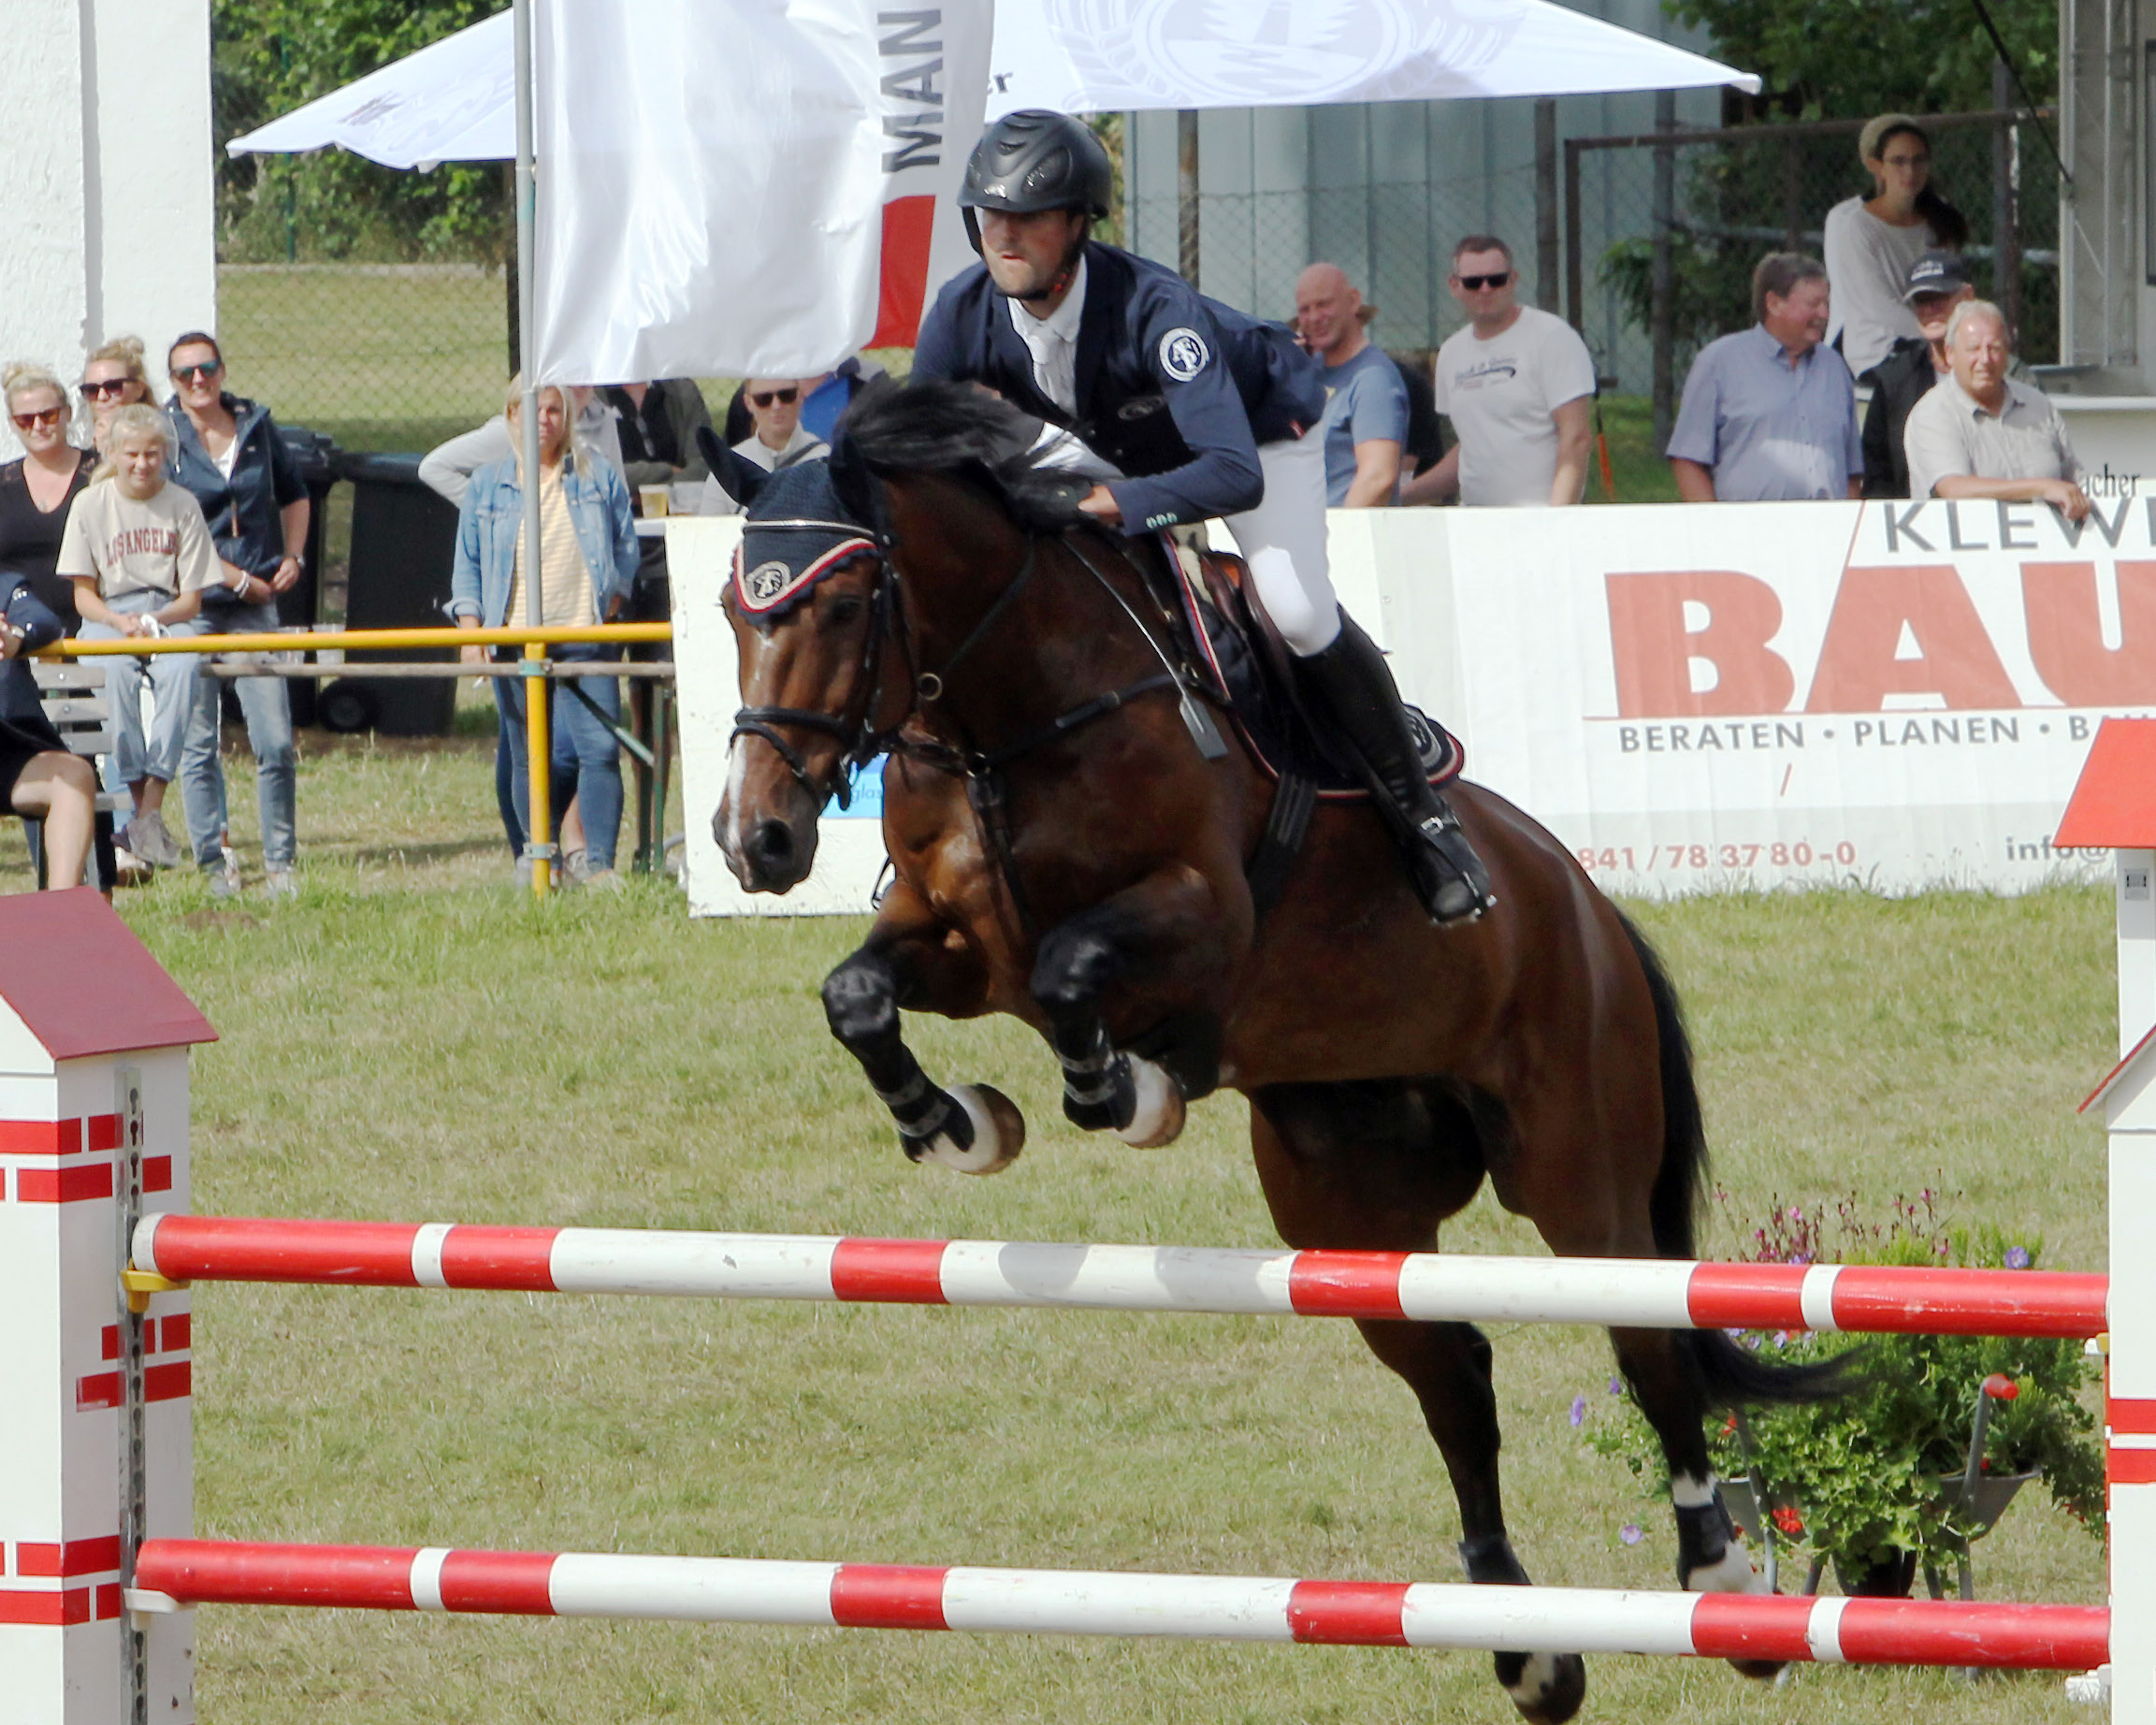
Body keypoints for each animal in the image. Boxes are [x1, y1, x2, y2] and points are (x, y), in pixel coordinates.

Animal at [711, 381, 1836, 1725]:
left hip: (1579, 1168)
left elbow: (1076, 976)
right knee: (1451, 1370)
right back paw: (1525, 1643)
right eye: (731, 608)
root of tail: (1591, 907)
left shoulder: (1196, 923)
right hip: (1347, 1208)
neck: (1010, 711)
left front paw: (1131, 1089)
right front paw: (960, 1126)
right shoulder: (956, 942)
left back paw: (1726, 1586)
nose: (756, 840)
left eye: (837, 604)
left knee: (1647, 1344)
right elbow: (857, 995)